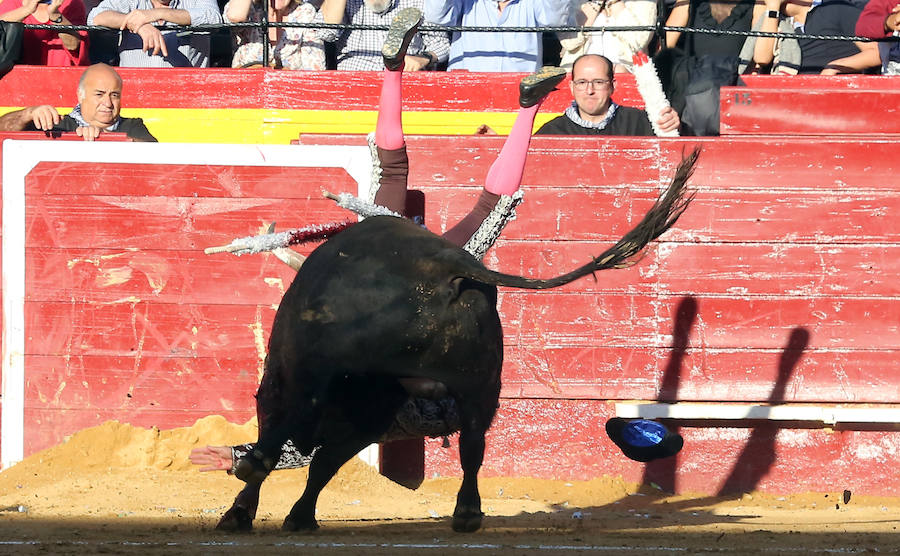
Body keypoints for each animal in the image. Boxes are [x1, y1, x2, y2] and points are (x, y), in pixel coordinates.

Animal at [223, 150, 696, 532]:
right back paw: (467, 513)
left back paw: (252, 467)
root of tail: (445, 263)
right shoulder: (372, 413)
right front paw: (299, 515)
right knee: (472, 445)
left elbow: (287, 432)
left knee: (292, 416)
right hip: (479, 382)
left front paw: (244, 509)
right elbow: (325, 462)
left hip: (320, 367)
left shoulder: (299, 383)